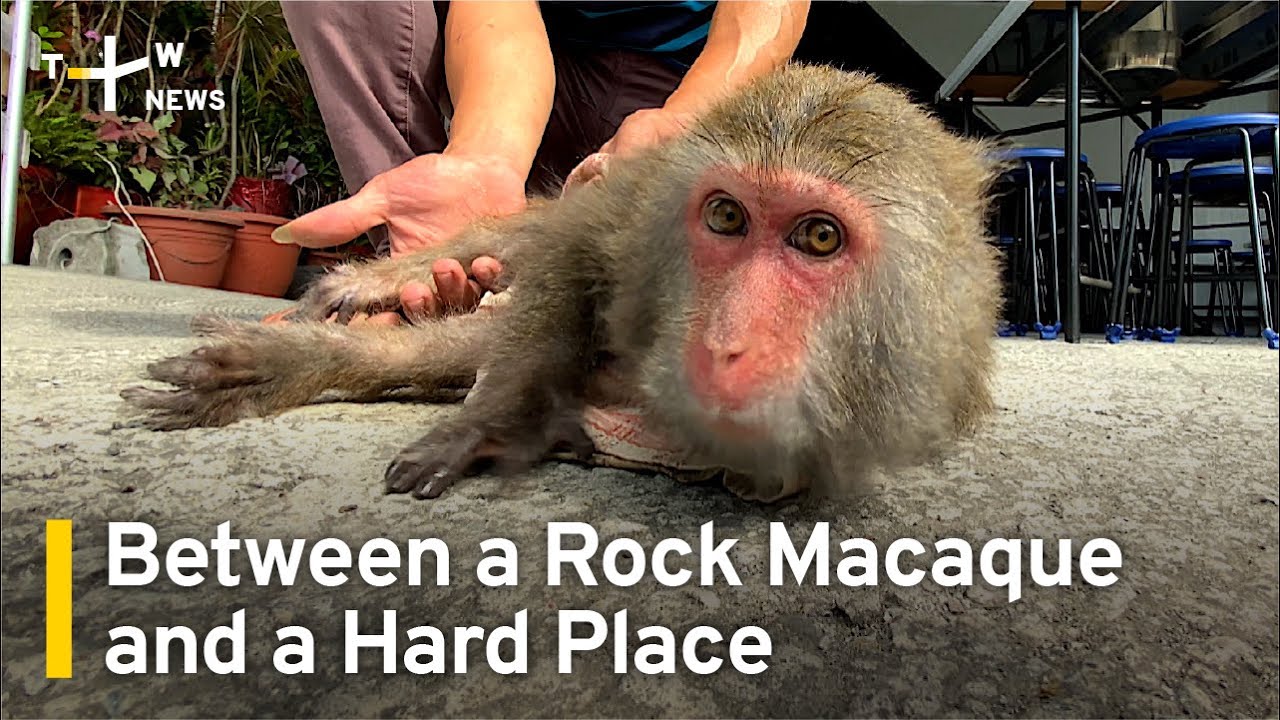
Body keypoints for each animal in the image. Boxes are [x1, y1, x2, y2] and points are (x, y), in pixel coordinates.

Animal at [122, 64, 1003, 503]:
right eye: (725, 217)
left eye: (820, 237)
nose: (724, 344)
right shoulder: (637, 211)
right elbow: (569, 254)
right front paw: (482, 424)